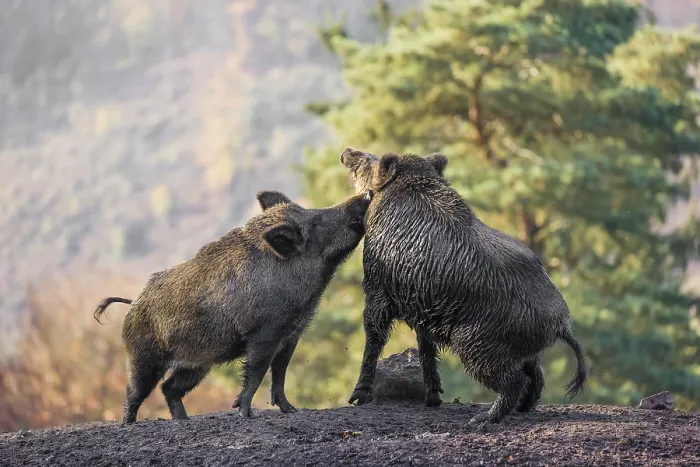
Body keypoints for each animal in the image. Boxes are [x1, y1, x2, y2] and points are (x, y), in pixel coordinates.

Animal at [93, 189, 372, 424]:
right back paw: (128, 423)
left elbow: (280, 374)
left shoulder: (292, 334)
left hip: (197, 364)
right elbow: (258, 371)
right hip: (144, 356)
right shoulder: (265, 334)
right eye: (315, 222)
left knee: (169, 388)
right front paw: (245, 413)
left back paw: (184, 420)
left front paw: (292, 410)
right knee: (134, 391)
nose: (366, 194)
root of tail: (134, 302)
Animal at [340, 148, 588, 427]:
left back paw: (483, 419)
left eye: (371, 162)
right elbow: (426, 348)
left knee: (516, 380)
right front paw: (433, 400)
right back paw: (520, 410)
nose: (348, 151)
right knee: (535, 376)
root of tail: (562, 323)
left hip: (476, 345)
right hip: (521, 350)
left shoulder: (376, 286)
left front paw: (356, 398)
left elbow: (375, 335)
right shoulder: (423, 309)